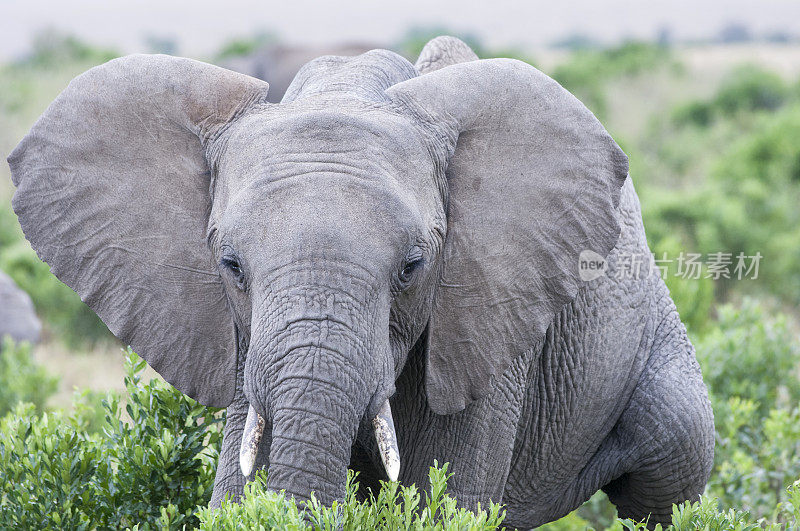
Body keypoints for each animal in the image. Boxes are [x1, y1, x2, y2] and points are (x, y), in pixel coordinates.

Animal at [7, 36, 712, 528]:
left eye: (413, 267)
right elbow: (236, 490)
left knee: (669, 471)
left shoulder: (488, 321)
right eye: (230, 264)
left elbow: (441, 502)